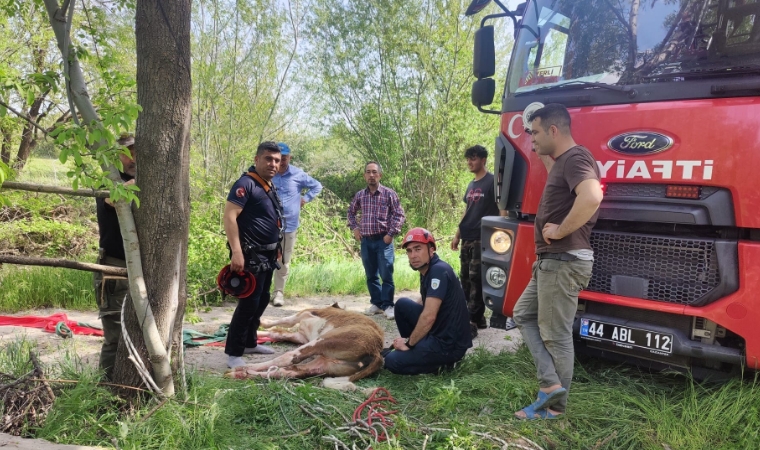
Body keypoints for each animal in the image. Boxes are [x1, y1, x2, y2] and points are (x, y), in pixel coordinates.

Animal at [223, 302, 382, 384]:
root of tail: (376, 352)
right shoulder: (300, 336)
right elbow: (277, 332)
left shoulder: (304, 313)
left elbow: (284, 321)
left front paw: (263, 322)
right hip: (325, 365)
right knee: (287, 372)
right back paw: (240, 374)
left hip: (323, 341)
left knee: (288, 358)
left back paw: (243, 368)